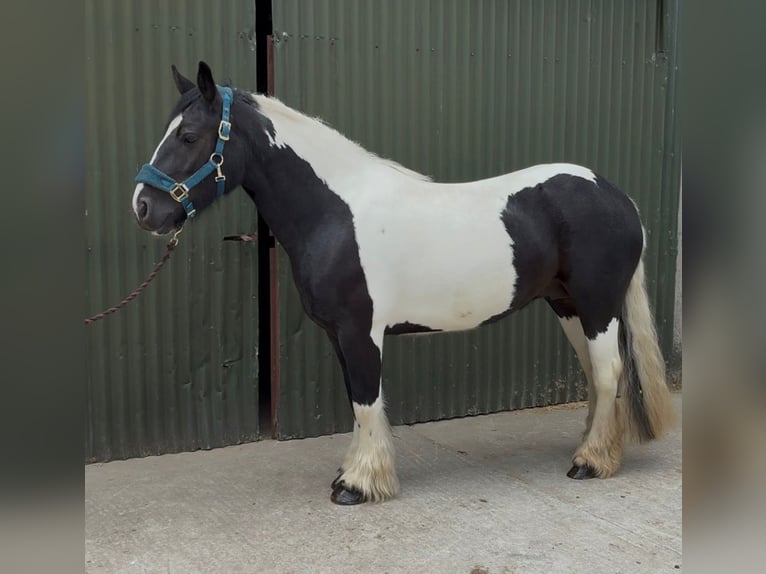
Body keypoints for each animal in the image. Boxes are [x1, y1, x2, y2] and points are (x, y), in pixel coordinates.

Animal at [132, 62, 675, 505]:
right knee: (597, 374)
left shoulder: (360, 331)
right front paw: (350, 474)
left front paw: (359, 485)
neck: (335, 212)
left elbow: (366, 399)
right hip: (567, 305)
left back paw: (590, 462)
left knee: (608, 372)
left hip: (597, 304)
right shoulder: (341, 335)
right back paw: (596, 448)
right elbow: (357, 400)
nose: (143, 207)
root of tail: (615, 195)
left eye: (189, 136)